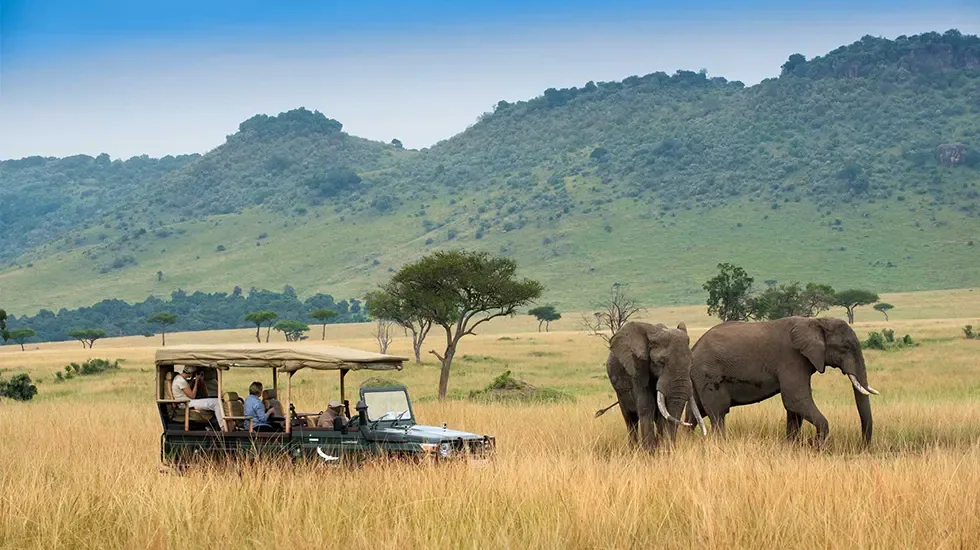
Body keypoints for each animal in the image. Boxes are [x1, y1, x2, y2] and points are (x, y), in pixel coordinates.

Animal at [598, 321, 707, 449]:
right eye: (661, 362)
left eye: (691, 362)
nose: (671, 448)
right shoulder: (637, 368)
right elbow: (647, 405)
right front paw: (650, 452)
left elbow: (663, 412)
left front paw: (662, 450)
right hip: (619, 391)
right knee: (630, 420)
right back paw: (633, 449)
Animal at [685, 316, 879, 445]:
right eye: (845, 347)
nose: (863, 447)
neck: (815, 322)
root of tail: (694, 348)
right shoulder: (791, 358)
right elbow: (796, 400)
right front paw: (815, 446)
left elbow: (794, 408)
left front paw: (792, 446)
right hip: (709, 373)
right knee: (718, 412)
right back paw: (720, 444)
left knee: (695, 413)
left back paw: (686, 441)